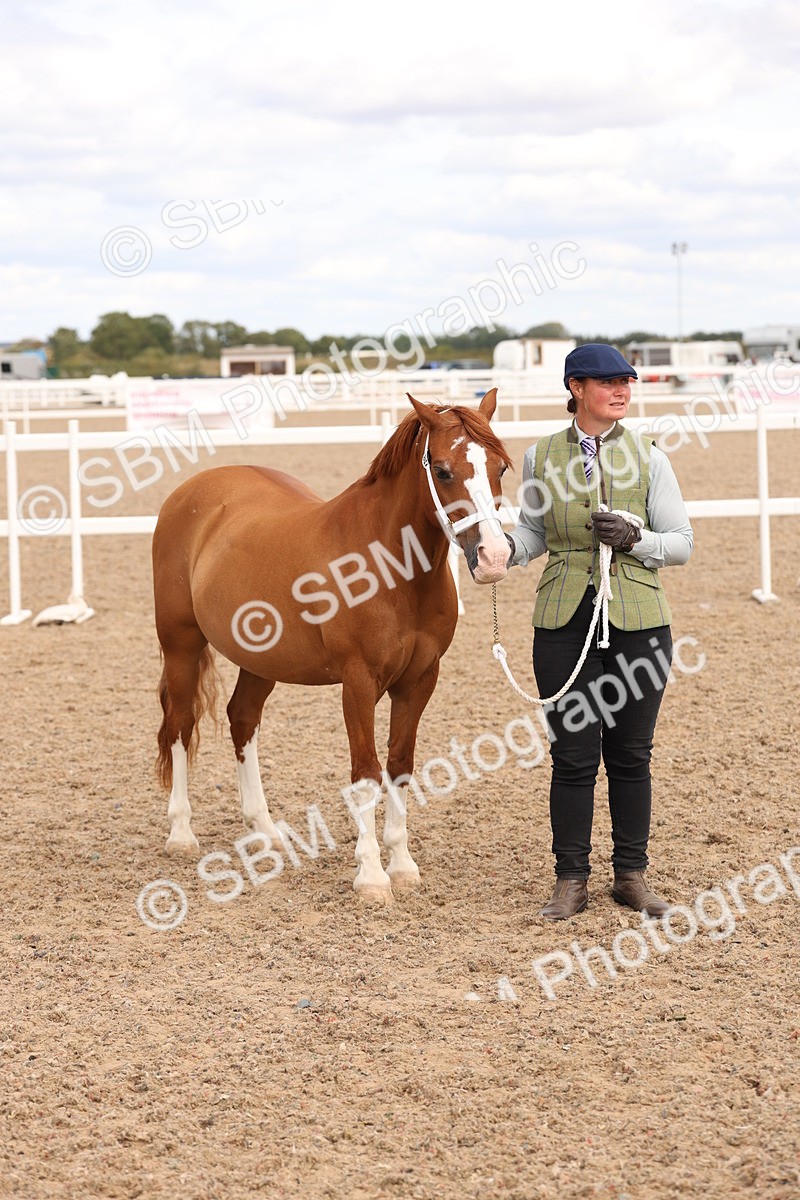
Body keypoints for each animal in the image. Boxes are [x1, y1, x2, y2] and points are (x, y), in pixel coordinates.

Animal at [152, 389, 513, 904]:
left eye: (501, 467)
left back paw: (264, 831)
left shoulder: (419, 681)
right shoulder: (358, 681)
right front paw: (372, 876)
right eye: (443, 470)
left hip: (260, 660)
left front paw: (402, 865)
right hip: (181, 644)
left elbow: (400, 766)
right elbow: (365, 774)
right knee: (180, 726)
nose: (494, 557)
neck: (390, 568)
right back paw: (181, 833)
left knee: (242, 720)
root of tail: (189, 493)